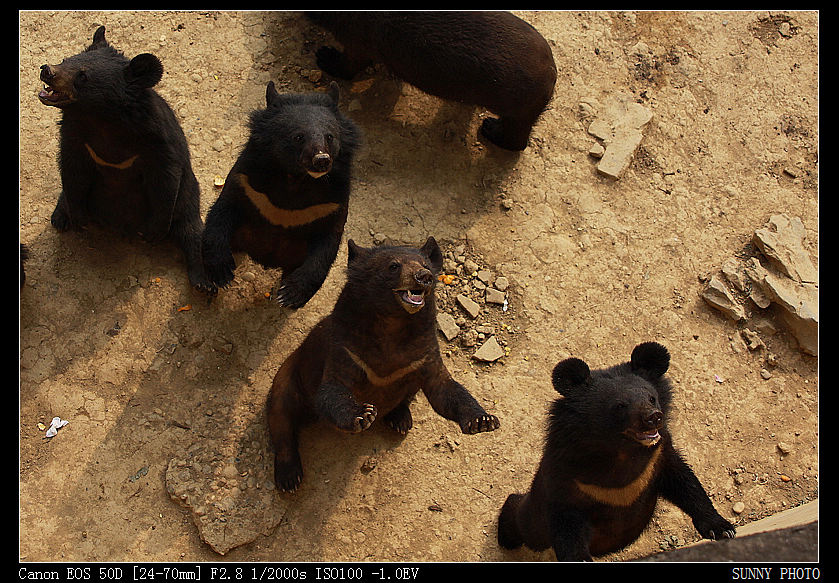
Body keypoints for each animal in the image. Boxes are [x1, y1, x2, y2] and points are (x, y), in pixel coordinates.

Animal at [38, 26, 212, 292]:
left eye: (82, 75)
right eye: (66, 59)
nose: (47, 70)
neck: (102, 120)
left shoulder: (157, 142)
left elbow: (166, 178)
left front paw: (152, 233)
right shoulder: (75, 138)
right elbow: (72, 172)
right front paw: (78, 219)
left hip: (188, 199)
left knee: (192, 232)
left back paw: (205, 283)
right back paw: (60, 217)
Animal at [203, 82, 360, 310]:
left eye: (330, 137)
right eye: (298, 136)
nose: (322, 159)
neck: (295, 179)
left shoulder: (332, 202)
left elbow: (328, 241)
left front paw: (289, 295)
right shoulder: (246, 180)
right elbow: (225, 208)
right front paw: (221, 273)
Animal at [498, 342, 736, 560]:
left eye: (652, 398)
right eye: (621, 406)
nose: (653, 417)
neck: (620, 451)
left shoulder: (658, 457)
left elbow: (686, 484)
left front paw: (723, 529)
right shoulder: (567, 479)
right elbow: (567, 524)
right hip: (534, 522)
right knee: (519, 516)